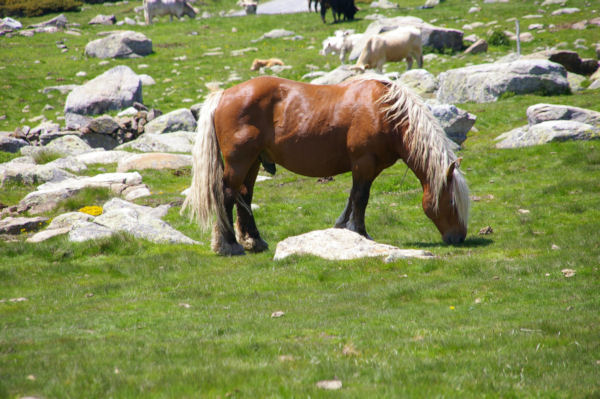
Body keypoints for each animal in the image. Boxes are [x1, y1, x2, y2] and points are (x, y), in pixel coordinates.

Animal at [183, 75, 468, 256]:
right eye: (451, 201)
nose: (459, 237)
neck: (386, 112)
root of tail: (223, 95)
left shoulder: (367, 168)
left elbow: (352, 198)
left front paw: (343, 228)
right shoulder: (364, 163)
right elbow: (361, 199)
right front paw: (361, 234)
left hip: (253, 162)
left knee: (244, 196)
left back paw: (254, 240)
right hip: (239, 162)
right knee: (227, 196)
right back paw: (229, 245)